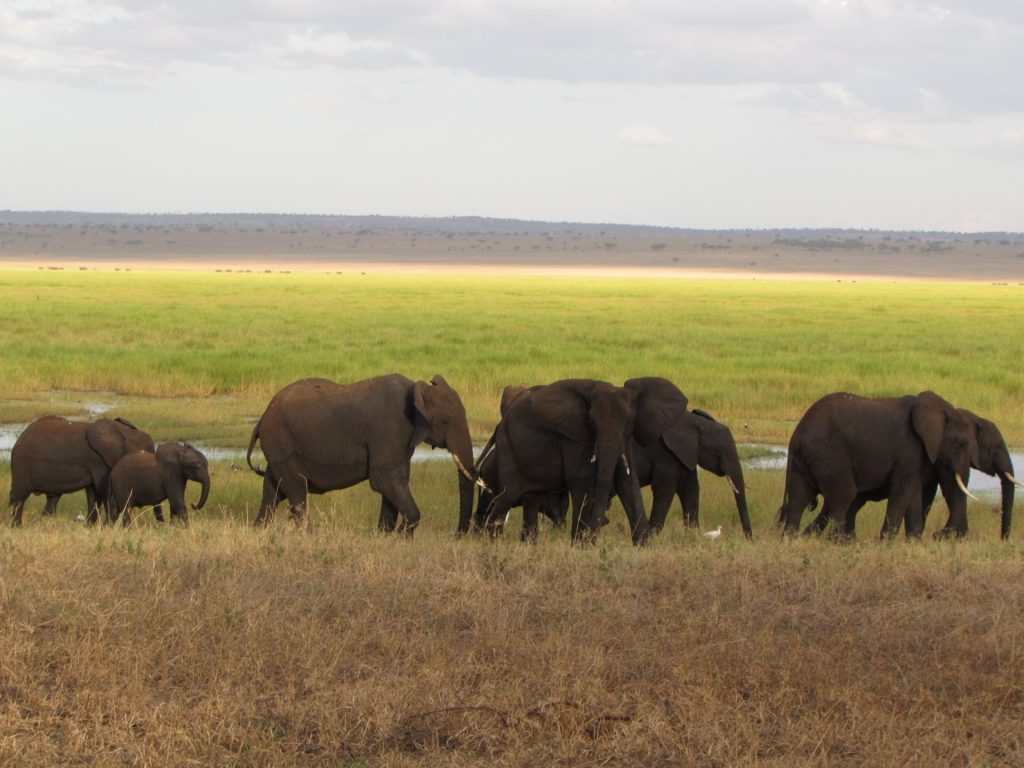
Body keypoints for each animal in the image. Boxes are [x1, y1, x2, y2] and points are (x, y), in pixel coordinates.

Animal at [9, 415, 156, 526]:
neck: (125, 433)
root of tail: (20, 438)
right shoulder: (98, 461)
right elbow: (103, 491)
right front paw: (107, 526)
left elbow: (93, 494)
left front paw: (92, 527)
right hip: (21, 465)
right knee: (19, 498)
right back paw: (17, 527)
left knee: (52, 499)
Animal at [246, 374, 475, 533]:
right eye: (445, 421)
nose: (457, 534)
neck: (418, 390)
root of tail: (262, 418)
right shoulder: (388, 429)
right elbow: (385, 480)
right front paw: (403, 536)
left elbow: (395, 482)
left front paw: (386, 535)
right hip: (281, 443)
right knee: (297, 492)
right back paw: (307, 534)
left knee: (273, 490)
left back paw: (259, 530)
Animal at [466, 378, 688, 545]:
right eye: (592, 422)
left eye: (628, 422)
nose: (601, 524)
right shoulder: (573, 437)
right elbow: (582, 481)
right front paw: (581, 546)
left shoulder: (626, 439)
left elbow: (628, 482)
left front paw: (642, 546)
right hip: (509, 448)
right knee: (507, 495)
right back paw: (491, 543)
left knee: (530, 498)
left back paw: (527, 544)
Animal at [622, 377, 753, 539]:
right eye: (719, 450)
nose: (749, 540)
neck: (691, 422)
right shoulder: (664, 451)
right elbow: (665, 489)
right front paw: (653, 535)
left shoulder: (685, 454)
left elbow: (690, 488)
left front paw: (692, 534)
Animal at [777, 391, 978, 539]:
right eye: (961, 444)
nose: (937, 535)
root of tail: (796, 435)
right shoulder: (909, 449)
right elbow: (902, 491)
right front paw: (887, 544)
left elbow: (913, 493)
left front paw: (913, 543)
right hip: (829, 454)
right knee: (843, 496)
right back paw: (837, 542)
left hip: (805, 460)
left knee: (799, 498)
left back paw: (791, 539)